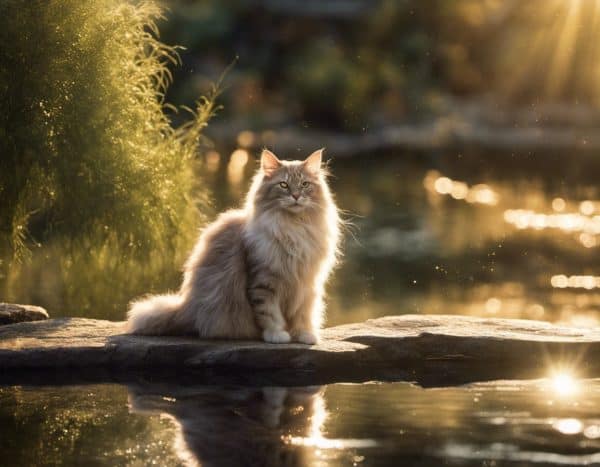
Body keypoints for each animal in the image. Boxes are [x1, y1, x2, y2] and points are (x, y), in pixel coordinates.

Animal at [126, 148, 340, 346]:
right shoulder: (263, 281)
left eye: (305, 185)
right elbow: (269, 313)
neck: (294, 228)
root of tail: (187, 307)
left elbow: (304, 315)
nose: (296, 196)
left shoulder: (307, 285)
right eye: (284, 185)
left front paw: (306, 335)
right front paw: (276, 335)